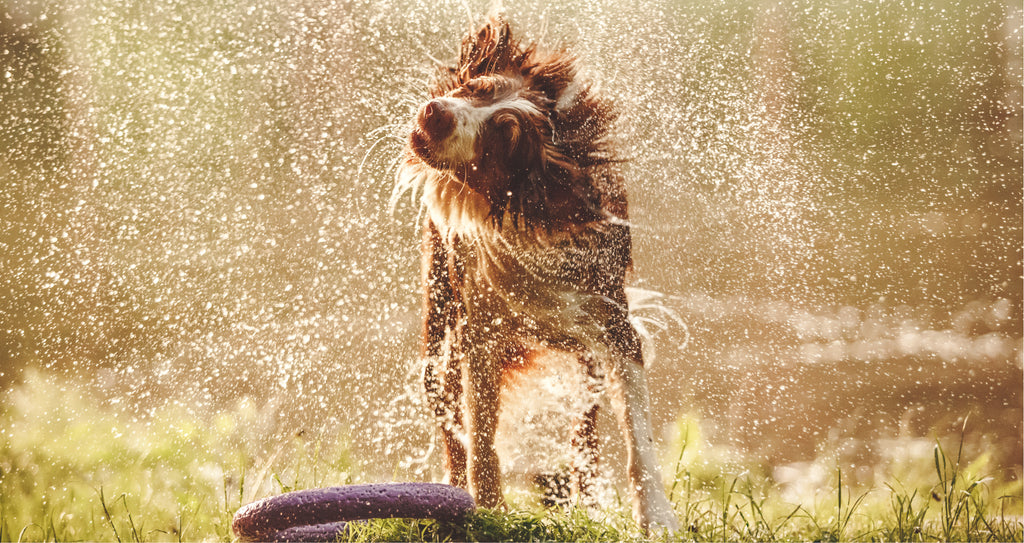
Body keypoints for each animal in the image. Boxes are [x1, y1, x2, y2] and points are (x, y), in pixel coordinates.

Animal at [395, 16, 684, 532]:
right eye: (475, 88)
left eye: (503, 136)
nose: (435, 112)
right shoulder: (479, 333)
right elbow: (481, 438)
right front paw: (487, 509)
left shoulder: (613, 323)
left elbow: (638, 435)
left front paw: (656, 516)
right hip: (439, 318)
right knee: (446, 407)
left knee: (584, 430)